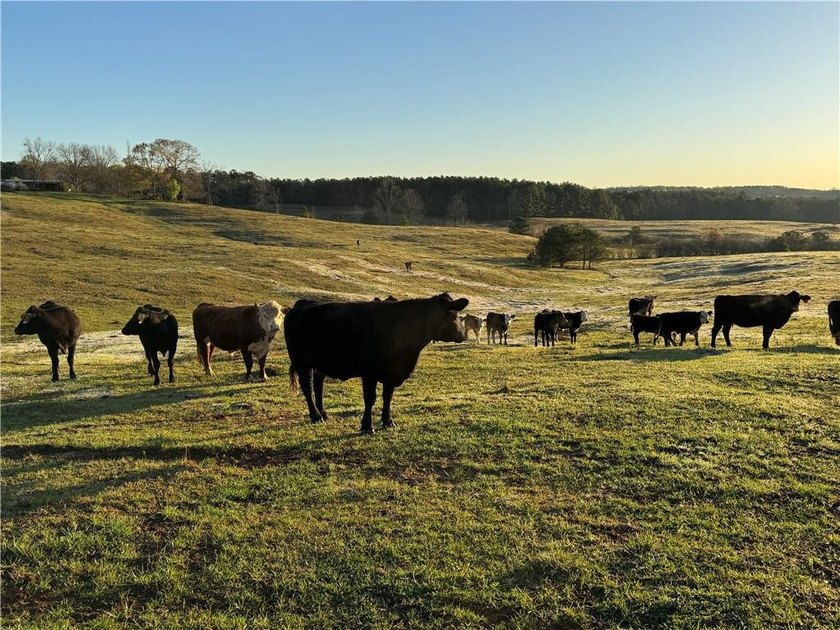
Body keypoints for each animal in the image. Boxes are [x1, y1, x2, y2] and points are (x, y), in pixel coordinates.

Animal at [284, 292, 469, 433]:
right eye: (454, 314)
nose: (463, 334)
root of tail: (300, 304)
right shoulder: (369, 373)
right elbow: (370, 399)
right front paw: (367, 426)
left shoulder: (391, 373)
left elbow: (388, 397)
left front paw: (388, 421)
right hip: (301, 362)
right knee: (307, 387)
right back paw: (316, 417)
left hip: (320, 363)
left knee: (318, 385)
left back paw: (323, 413)